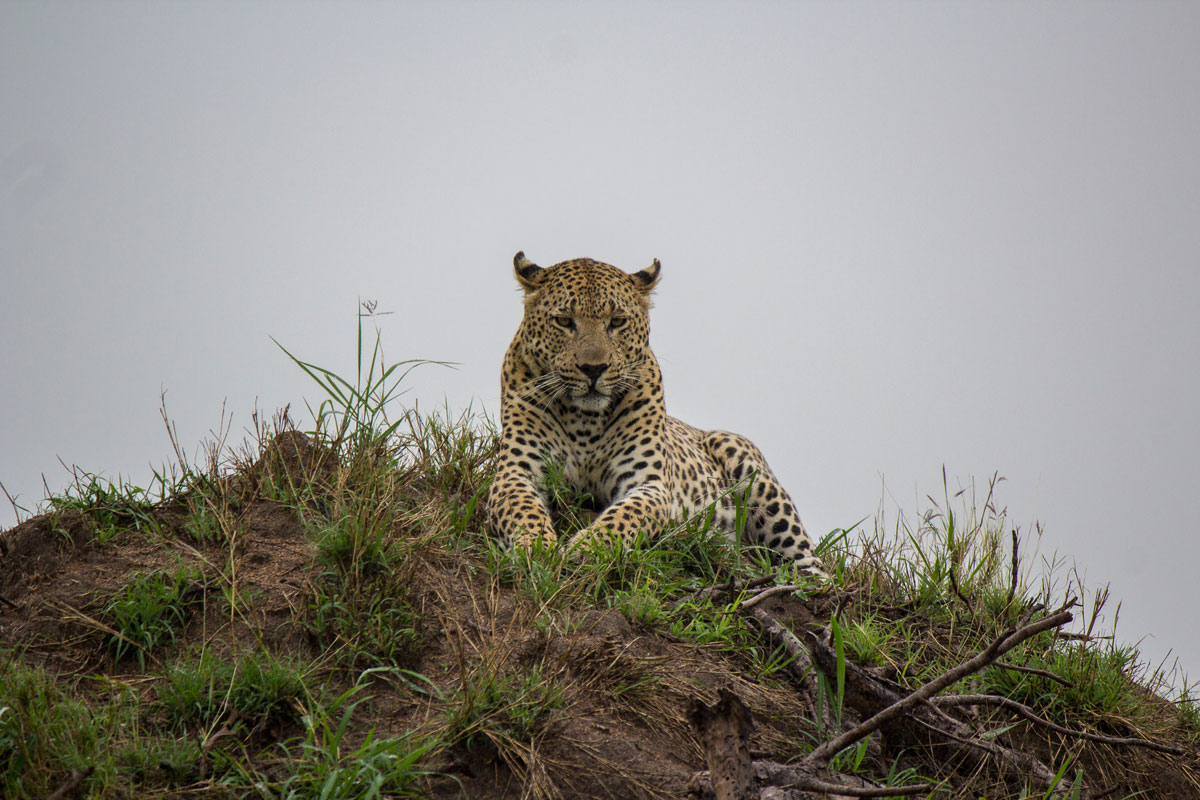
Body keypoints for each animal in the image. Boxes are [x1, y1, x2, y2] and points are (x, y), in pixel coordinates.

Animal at [485, 251, 825, 576]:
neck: (585, 421)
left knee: (812, 562)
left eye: (617, 321)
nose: (594, 368)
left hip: (754, 475)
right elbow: (523, 511)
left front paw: (586, 549)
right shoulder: (517, 472)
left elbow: (623, 517)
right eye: (564, 321)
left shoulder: (649, 484)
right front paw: (534, 548)